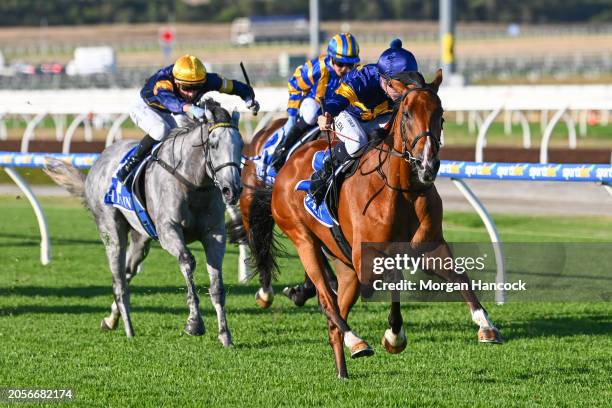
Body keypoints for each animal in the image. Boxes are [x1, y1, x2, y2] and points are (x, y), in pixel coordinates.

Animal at [43, 100, 243, 346]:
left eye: (241, 145)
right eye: (214, 145)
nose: (231, 190)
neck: (193, 183)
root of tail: (99, 162)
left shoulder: (214, 234)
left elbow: (217, 286)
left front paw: (225, 335)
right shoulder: (168, 231)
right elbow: (188, 262)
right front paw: (194, 323)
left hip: (141, 239)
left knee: (128, 271)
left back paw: (111, 319)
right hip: (111, 231)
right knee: (118, 280)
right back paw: (128, 329)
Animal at [247, 71, 502, 380]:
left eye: (440, 114)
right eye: (406, 114)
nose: (427, 164)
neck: (402, 189)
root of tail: (285, 166)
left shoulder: (430, 246)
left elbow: (462, 278)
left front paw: (486, 326)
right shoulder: (367, 257)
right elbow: (394, 278)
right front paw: (394, 336)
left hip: (345, 266)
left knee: (335, 312)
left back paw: (343, 369)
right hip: (303, 240)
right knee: (327, 301)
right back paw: (356, 340)